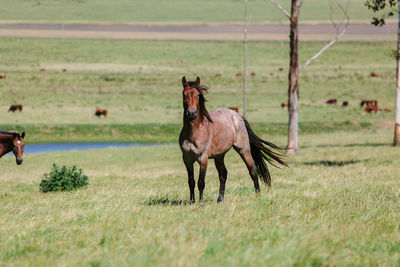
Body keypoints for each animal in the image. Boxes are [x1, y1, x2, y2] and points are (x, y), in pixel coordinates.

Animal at [179, 76, 288, 204]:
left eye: (197, 94)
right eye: (184, 94)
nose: (191, 113)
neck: (194, 133)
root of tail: (238, 116)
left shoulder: (203, 158)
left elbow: (201, 182)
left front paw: (201, 203)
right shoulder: (187, 159)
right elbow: (191, 181)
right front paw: (192, 202)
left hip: (244, 150)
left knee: (253, 170)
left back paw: (258, 195)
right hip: (219, 155)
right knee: (223, 174)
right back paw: (220, 199)